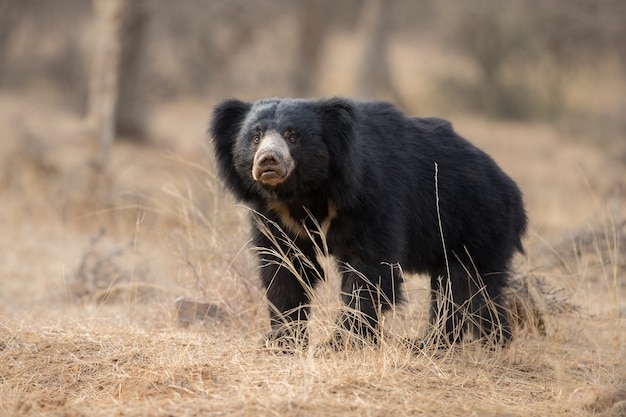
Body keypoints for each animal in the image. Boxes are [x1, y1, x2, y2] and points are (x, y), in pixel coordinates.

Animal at [210, 96, 528, 348]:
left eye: (293, 136)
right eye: (255, 137)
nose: (268, 161)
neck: (305, 193)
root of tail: (512, 190)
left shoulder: (371, 196)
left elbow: (368, 268)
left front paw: (341, 343)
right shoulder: (276, 216)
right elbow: (284, 266)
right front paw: (281, 340)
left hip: (476, 222)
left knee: (461, 286)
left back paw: (433, 343)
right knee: (479, 290)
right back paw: (494, 340)